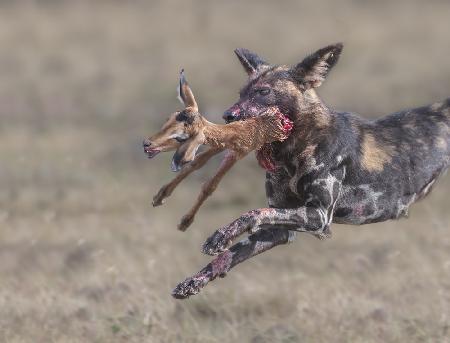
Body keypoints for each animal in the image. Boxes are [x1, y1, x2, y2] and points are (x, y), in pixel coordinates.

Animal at [143, 70, 292, 231]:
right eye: (168, 119)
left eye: (181, 137)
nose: (146, 144)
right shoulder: (230, 144)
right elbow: (196, 162)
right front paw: (159, 197)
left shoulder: (242, 148)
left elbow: (210, 185)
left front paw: (185, 222)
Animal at [171, 43, 450, 300]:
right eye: (241, 93)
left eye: (264, 92)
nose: (228, 115)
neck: (294, 148)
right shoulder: (278, 230)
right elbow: (229, 255)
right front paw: (193, 282)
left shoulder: (318, 216)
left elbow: (251, 213)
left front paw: (219, 237)